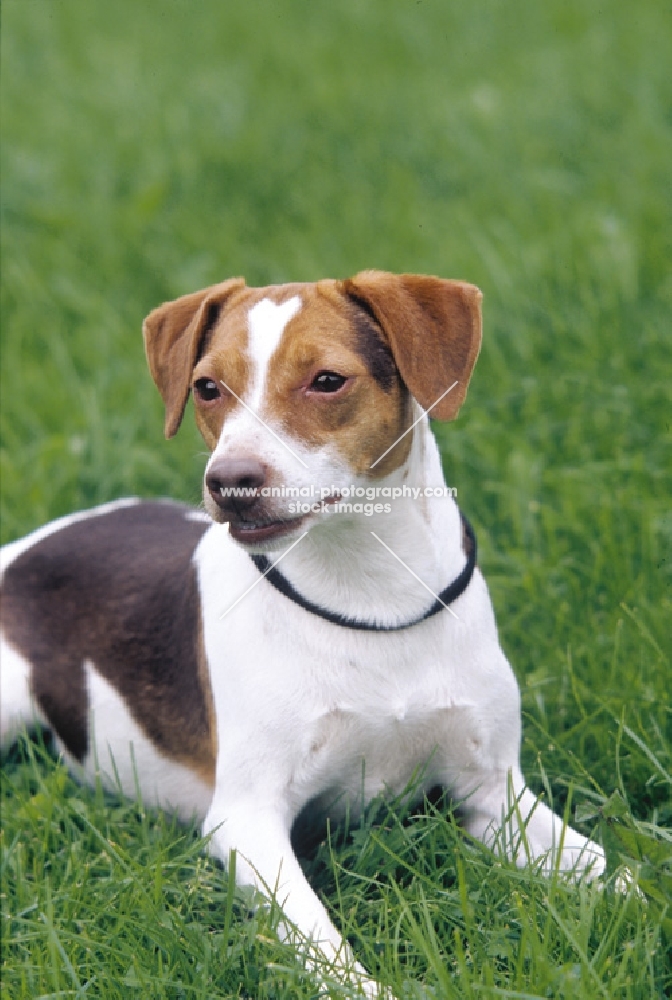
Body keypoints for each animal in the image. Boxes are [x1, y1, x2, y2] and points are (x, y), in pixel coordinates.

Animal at [0, 270, 608, 996]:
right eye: (208, 388)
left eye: (327, 381)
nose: (230, 482)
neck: (370, 593)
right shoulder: (249, 821)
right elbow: (318, 935)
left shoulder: (494, 793)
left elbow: (609, 871)